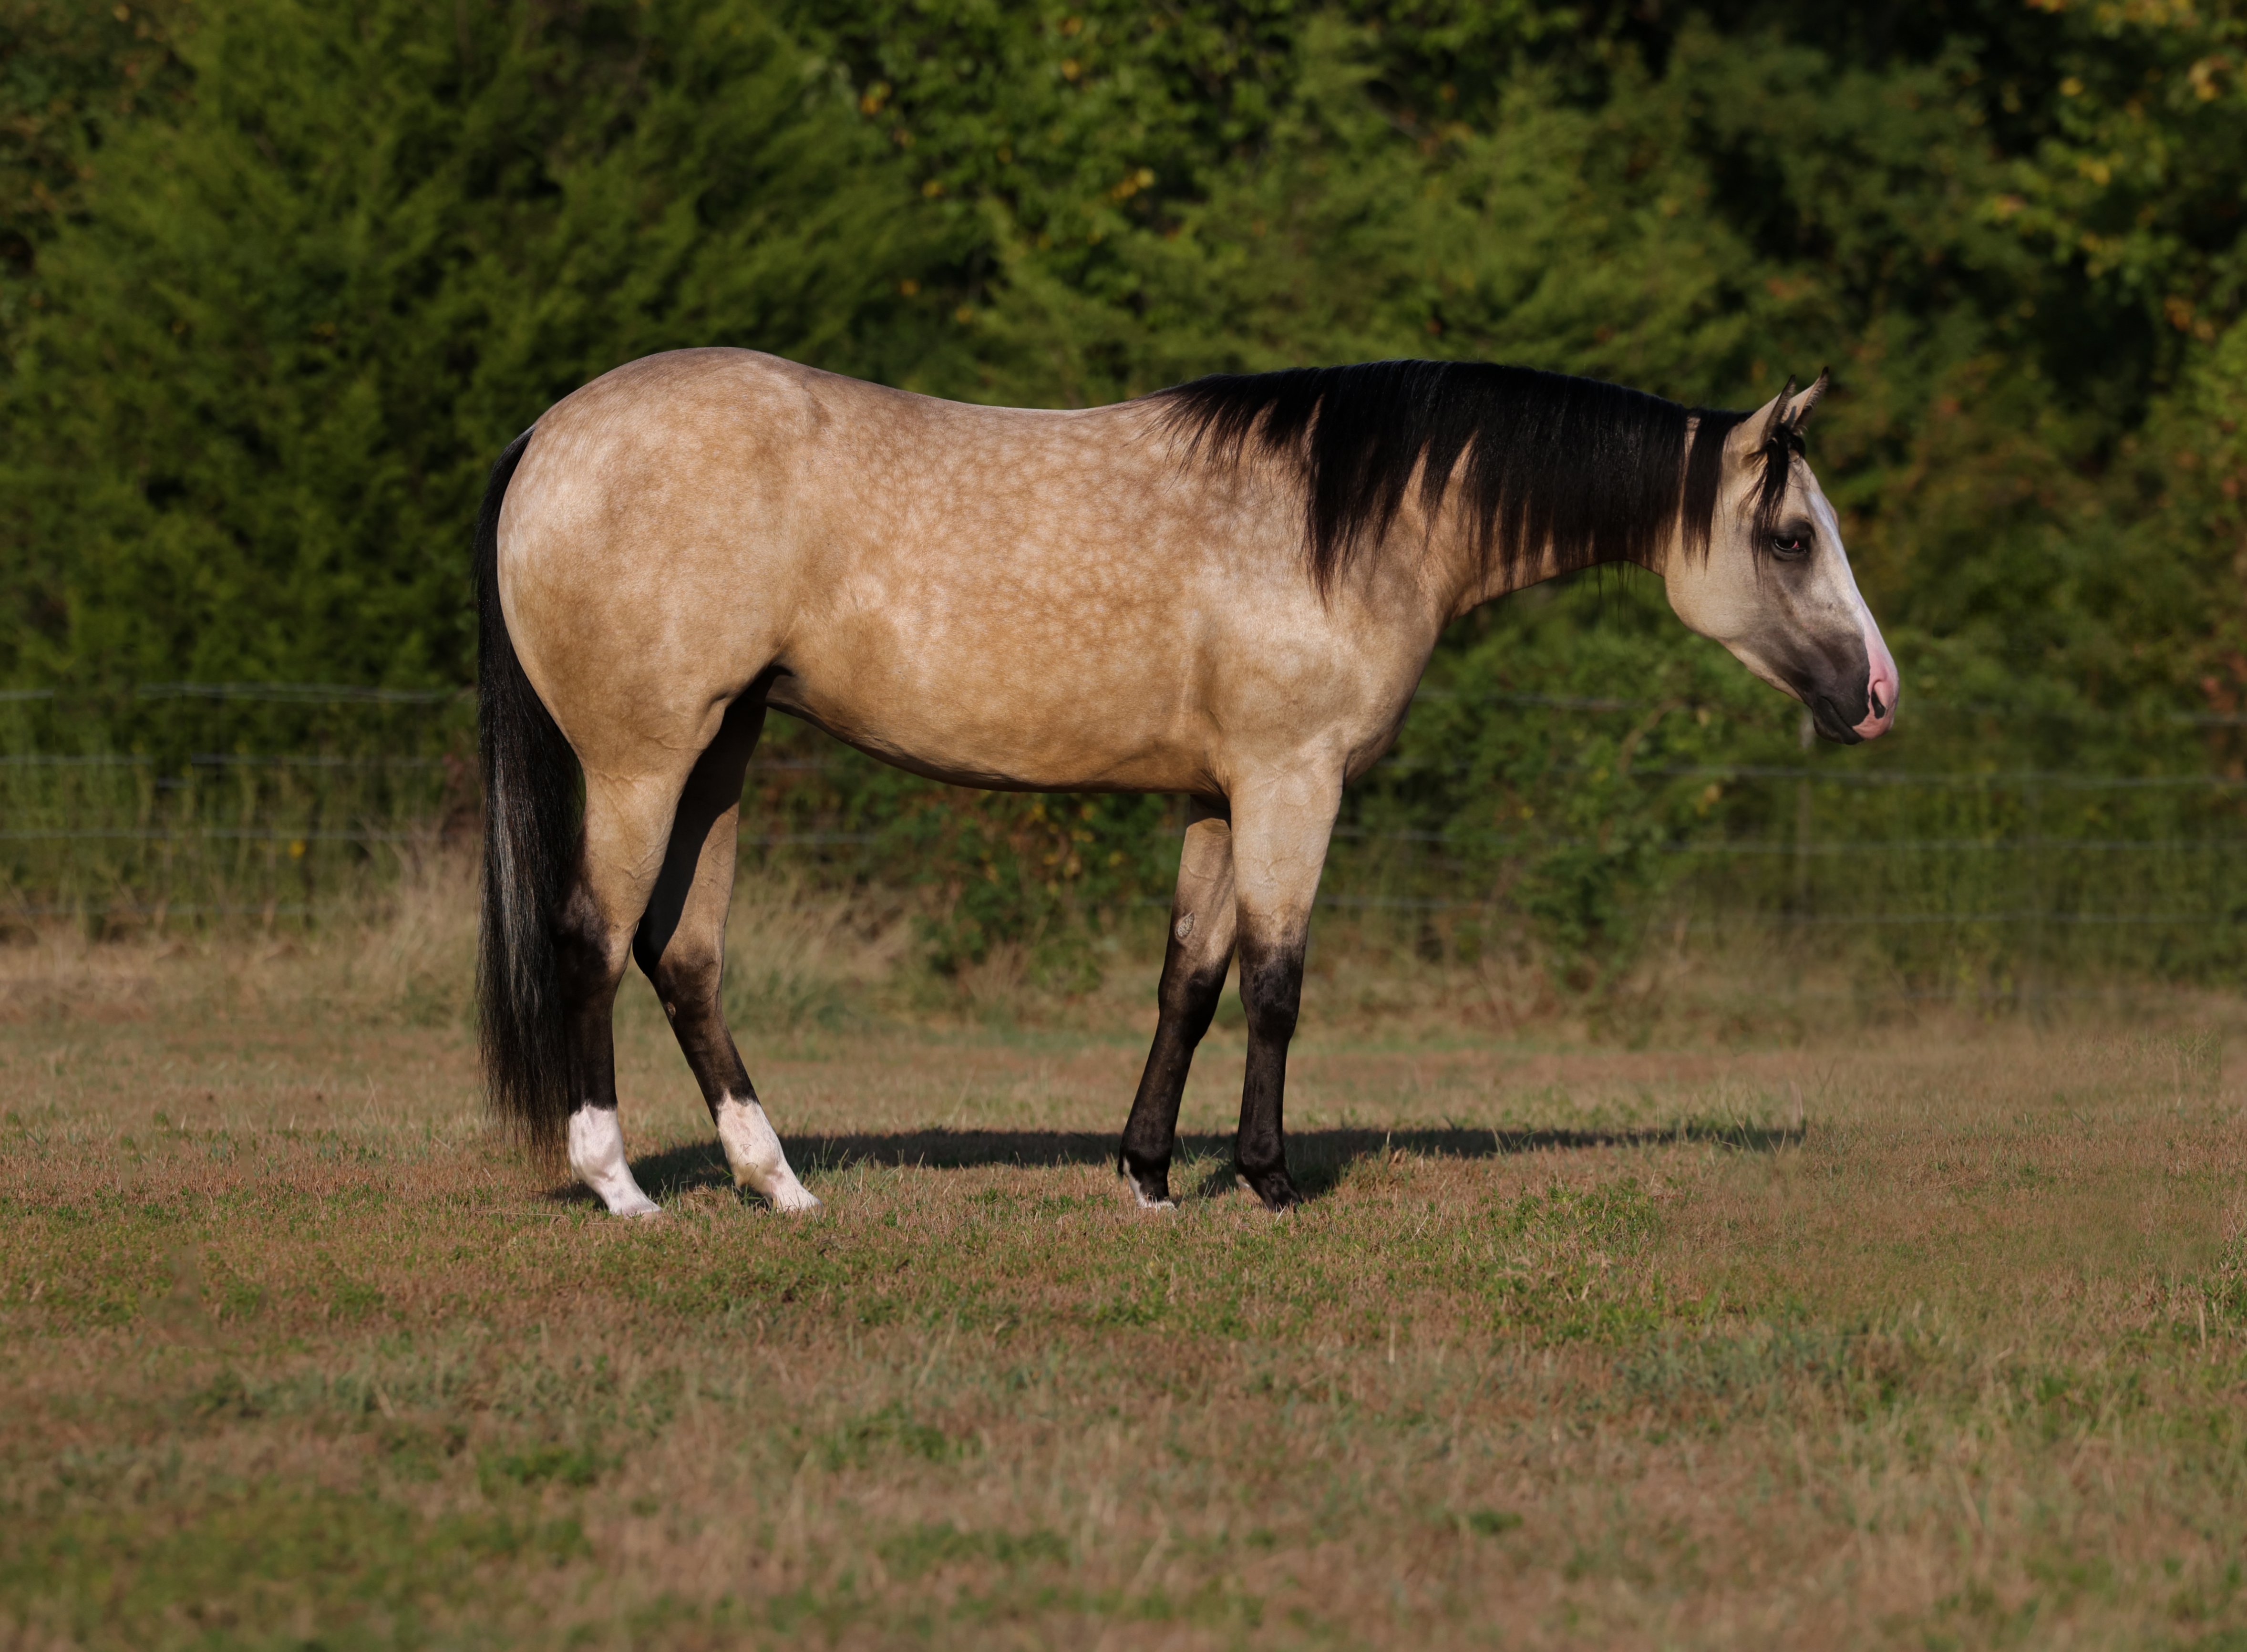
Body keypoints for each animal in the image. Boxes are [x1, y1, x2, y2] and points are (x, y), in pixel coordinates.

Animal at [476, 352, 1896, 1218]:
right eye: (1791, 537)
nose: (1877, 695)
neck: (1351, 523)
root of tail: (549, 433)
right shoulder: (1290, 782)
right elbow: (1275, 983)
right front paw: (1267, 1179)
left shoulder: (1220, 794)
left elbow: (1190, 982)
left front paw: (1150, 1173)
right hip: (644, 759)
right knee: (593, 938)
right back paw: (620, 1184)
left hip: (721, 752)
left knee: (684, 953)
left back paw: (777, 1182)